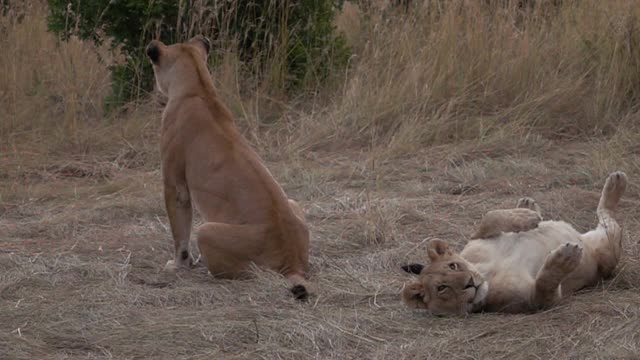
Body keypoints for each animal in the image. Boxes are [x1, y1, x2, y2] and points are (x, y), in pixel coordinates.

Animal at [148, 36, 312, 300]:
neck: (199, 88)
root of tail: (293, 262)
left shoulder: (175, 186)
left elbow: (179, 232)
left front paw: (178, 265)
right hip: (293, 202)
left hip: (207, 231)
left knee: (243, 271)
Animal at [402, 172, 628, 316]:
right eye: (442, 288)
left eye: (453, 265)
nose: (470, 283)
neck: (486, 273)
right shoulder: (532, 302)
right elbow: (543, 286)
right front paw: (564, 259)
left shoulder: (475, 239)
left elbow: (489, 217)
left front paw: (526, 216)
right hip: (608, 249)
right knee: (607, 217)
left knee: (604, 212)